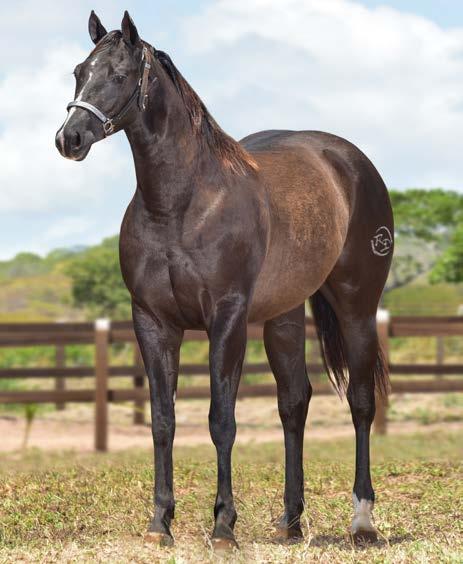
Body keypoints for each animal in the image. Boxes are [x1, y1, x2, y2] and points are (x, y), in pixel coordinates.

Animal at [55, 12, 396, 552]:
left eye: (119, 75)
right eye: (78, 71)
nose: (69, 139)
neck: (180, 204)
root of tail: (348, 161)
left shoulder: (227, 319)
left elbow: (221, 420)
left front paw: (223, 527)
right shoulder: (152, 323)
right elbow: (163, 420)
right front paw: (160, 524)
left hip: (356, 307)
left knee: (361, 402)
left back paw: (362, 521)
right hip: (283, 315)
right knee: (294, 403)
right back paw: (290, 522)